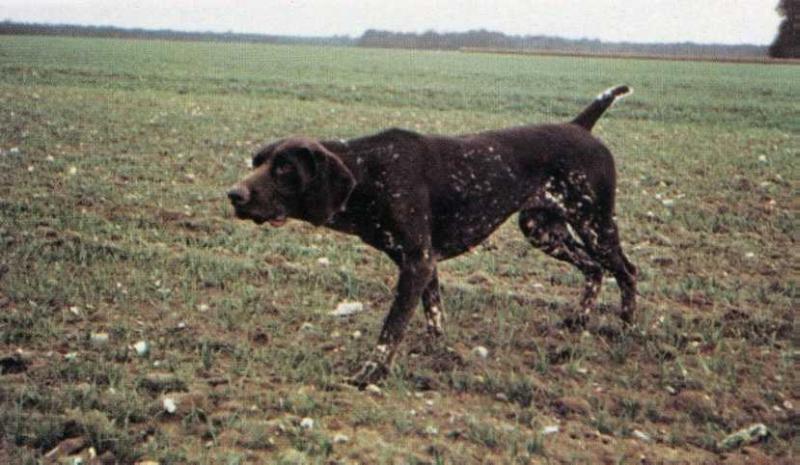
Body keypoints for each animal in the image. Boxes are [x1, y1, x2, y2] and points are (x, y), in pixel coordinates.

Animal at [230, 85, 636, 386]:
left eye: (284, 168)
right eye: (257, 162)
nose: (233, 195)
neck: (369, 171)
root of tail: (579, 125)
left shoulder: (417, 262)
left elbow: (391, 328)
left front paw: (371, 373)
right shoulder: (424, 263)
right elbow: (434, 316)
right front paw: (439, 355)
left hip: (595, 225)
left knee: (626, 271)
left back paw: (626, 330)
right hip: (542, 229)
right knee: (594, 269)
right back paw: (578, 321)